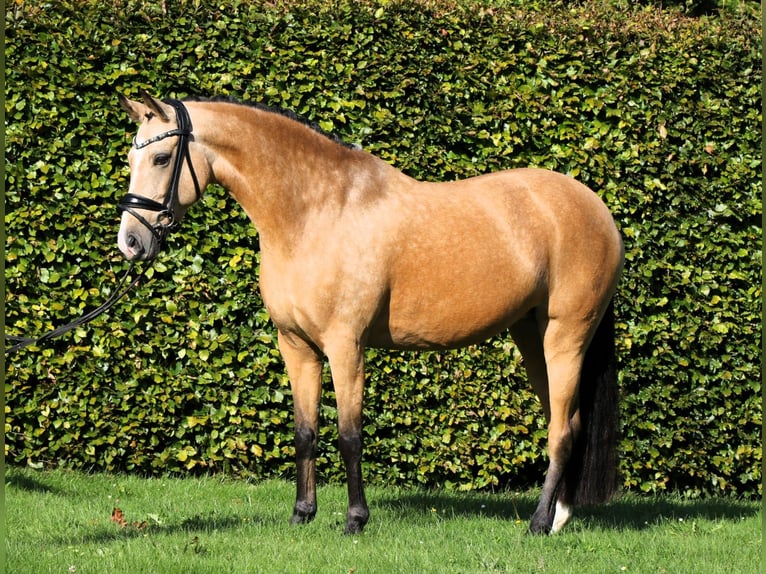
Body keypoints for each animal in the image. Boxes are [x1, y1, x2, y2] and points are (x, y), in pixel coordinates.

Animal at [118, 90, 624, 536]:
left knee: (561, 431)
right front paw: (302, 515)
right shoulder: (296, 346)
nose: (131, 242)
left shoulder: (346, 345)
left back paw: (538, 524)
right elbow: (305, 431)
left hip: (566, 337)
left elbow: (349, 435)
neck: (315, 212)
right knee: (567, 421)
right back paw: (558, 518)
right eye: (130, 160)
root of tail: (596, 208)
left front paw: (355, 520)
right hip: (531, 336)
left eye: (161, 159)